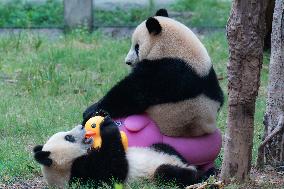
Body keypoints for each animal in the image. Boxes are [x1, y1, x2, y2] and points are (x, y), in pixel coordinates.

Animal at [33, 116, 211, 188]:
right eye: (68, 137)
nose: (82, 126)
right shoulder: (82, 174)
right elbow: (113, 171)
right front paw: (108, 128)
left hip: (161, 149)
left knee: (164, 147)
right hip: (157, 176)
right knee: (168, 173)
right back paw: (205, 174)